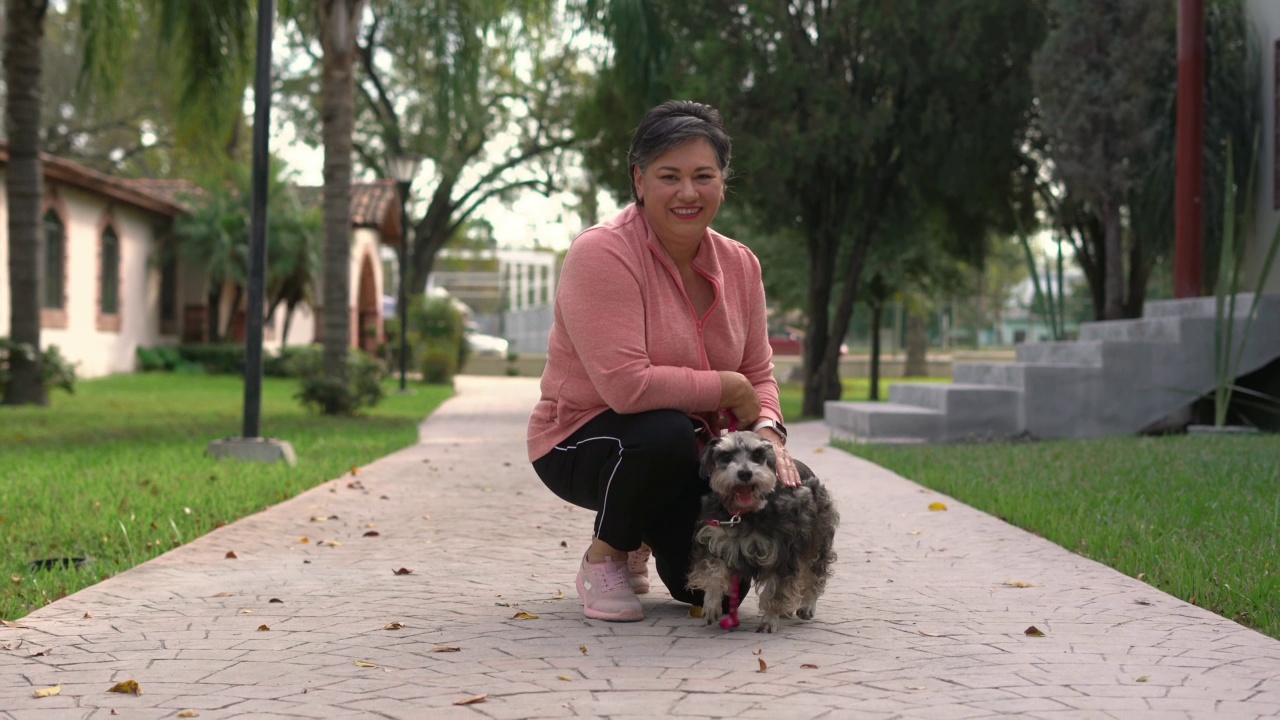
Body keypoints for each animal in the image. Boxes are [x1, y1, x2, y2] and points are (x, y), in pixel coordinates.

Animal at [691, 427, 839, 630]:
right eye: (726, 456)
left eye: (757, 454)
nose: (745, 473)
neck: (744, 512)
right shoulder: (715, 541)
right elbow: (713, 573)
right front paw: (711, 605)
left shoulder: (782, 552)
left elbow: (775, 590)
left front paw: (769, 620)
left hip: (817, 542)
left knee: (815, 575)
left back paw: (807, 606)